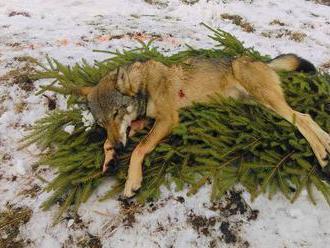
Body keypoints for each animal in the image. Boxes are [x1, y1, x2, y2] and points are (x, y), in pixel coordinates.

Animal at [76, 54, 328, 198]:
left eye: (116, 113)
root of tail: (259, 61)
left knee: (303, 118)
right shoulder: (144, 121)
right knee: (304, 117)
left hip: (267, 100)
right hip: (258, 103)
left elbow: (139, 149)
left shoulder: (168, 120)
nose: (120, 148)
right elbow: (108, 141)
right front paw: (109, 157)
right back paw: (325, 144)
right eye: (102, 123)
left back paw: (322, 154)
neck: (145, 84)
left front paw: (132, 181)